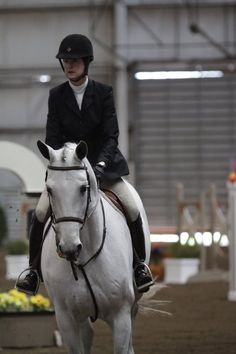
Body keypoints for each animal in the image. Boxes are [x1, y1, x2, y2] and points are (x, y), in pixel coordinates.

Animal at [37, 140, 151, 354]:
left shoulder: (121, 316)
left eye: (83, 188)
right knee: (88, 333)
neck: (85, 256)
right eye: (49, 190)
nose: (69, 248)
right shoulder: (66, 318)